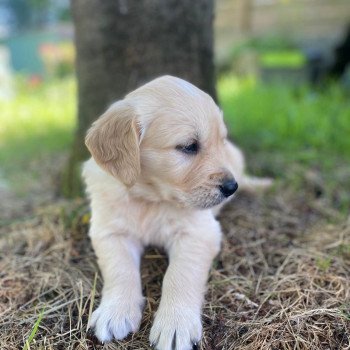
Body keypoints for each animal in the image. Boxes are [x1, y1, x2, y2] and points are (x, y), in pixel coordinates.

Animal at [82, 75, 270, 348]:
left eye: (220, 141)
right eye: (189, 146)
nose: (230, 187)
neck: (151, 198)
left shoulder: (199, 233)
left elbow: (179, 275)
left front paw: (175, 324)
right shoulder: (110, 232)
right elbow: (120, 269)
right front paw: (115, 311)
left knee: (246, 178)